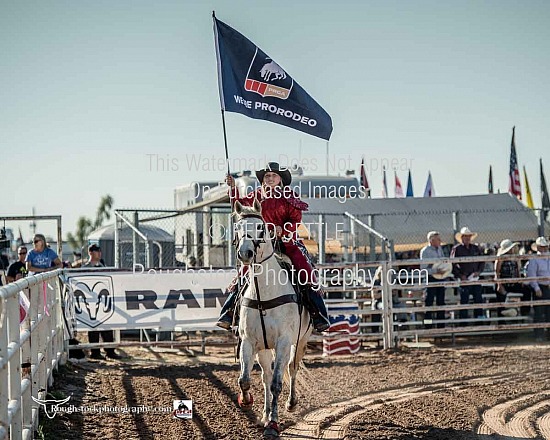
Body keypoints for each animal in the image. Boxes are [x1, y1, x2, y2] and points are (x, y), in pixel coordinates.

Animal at [234, 200, 314, 440]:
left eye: (260, 227)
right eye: (237, 228)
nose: (245, 253)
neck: (265, 293)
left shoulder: (284, 342)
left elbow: (278, 383)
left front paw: (273, 424)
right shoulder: (248, 341)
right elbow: (245, 379)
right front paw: (247, 401)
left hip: (300, 342)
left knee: (292, 368)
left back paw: (290, 404)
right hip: (264, 348)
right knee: (266, 377)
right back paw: (264, 414)